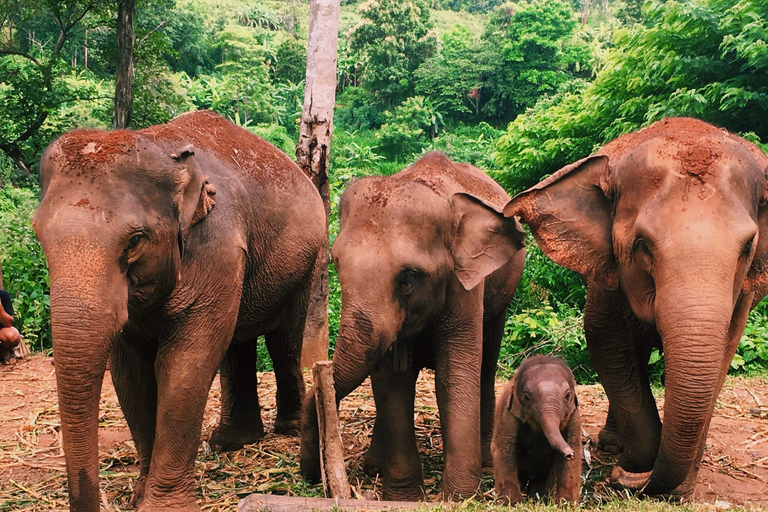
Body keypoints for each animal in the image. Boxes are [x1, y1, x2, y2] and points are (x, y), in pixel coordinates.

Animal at [32, 110, 328, 510]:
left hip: (307, 261)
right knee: (237, 344)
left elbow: (185, 363)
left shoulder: (216, 245)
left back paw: (288, 430)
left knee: (284, 339)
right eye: (38, 235)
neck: (162, 148)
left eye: (135, 241)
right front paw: (139, 496)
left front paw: (161, 505)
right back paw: (231, 442)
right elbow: (131, 373)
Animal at [296, 152, 524, 500]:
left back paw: (486, 460)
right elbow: (392, 379)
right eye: (336, 264)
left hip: (502, 295)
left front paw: (457, 498)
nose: (310, 476)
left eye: (408, 277)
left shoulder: (465, 285)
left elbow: (454, 373)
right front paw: (405, 498)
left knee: (486, 364)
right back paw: (374, 468)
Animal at [492, 356, 584, 504]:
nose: (569, 453)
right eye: (527, 397)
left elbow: (574, 449)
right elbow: (503, 448)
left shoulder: (574, 416)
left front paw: (566, 504)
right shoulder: (507, 414)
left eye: (567, 396)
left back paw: (539, 501)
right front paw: (511, 504)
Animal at [504, 118, 768, 498]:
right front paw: (634, 466)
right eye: (642, 245)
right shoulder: (607, 273)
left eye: (747, 247)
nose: (617, 477)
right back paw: (613, 445)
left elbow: (724, 353)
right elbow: (606, 342)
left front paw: (678, 488)